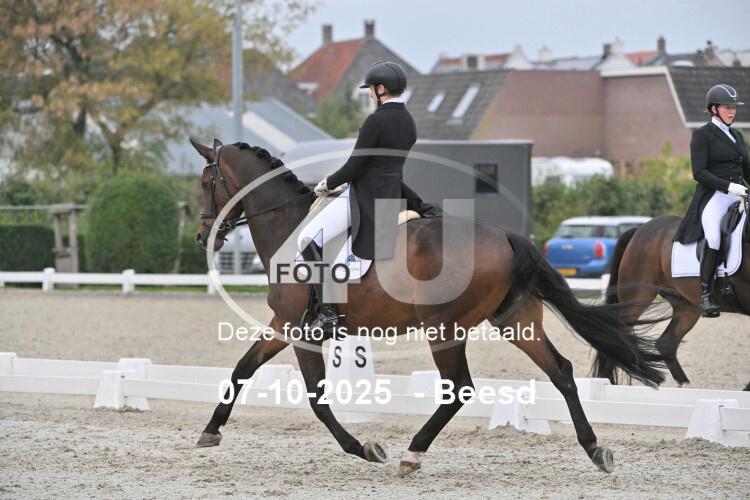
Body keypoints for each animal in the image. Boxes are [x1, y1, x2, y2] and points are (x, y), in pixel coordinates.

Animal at [190, 138, 669, 475]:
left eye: (205, 182)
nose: (202, 236)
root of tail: (506, 236)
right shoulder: (283, 324)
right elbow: (242, 368)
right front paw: (211, 430)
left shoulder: (297, 328)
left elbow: (316, 399)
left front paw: (364, 448)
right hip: (515, 321)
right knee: (561, 371)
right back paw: (595, 449)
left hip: (444, 327)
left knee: (459, 387)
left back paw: (412, 453)